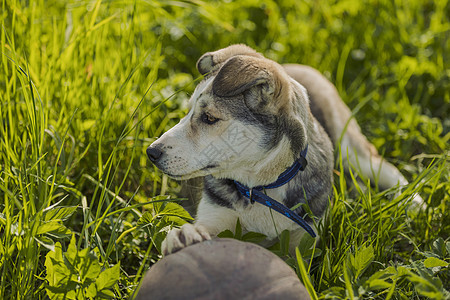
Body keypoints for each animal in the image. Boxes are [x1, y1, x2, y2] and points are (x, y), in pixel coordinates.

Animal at [146, 44, 420, 255]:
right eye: (187, 112)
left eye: (210, 118)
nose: (151, 153)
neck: (260, 187)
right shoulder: (216, 214)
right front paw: (183, 237)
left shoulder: (306, 235)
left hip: (350, 143)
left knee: (385, 167)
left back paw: (415, 205)